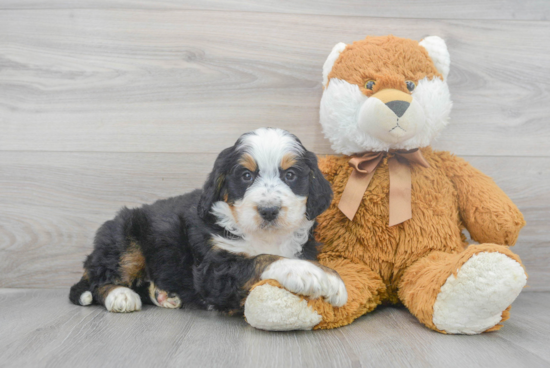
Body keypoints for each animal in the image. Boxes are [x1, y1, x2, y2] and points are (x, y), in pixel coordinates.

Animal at [70, 129, 350, 314]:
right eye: (246, 176)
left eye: (290, 175)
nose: (269, 210)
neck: (264, 235)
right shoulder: (214, 270)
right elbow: (262, 259)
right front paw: (311, 274)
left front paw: (329, 276)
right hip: (123, 239)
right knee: (98, 281)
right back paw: (121, 296)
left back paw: (163, 295)